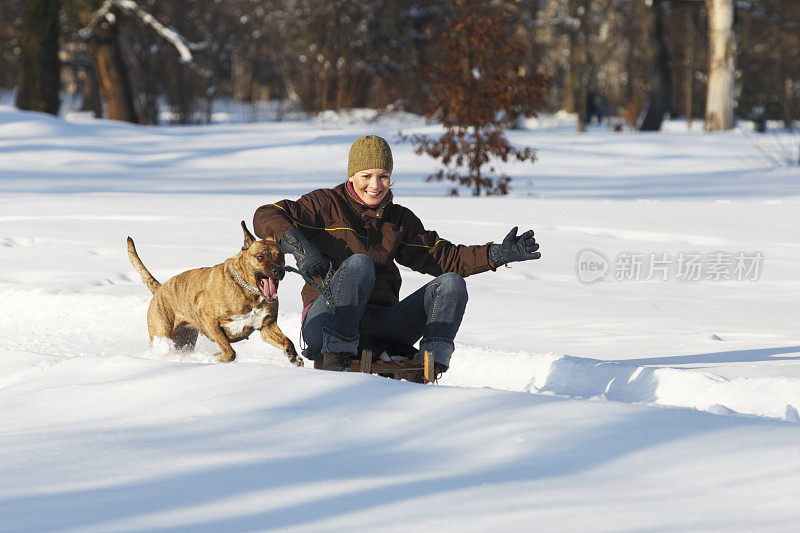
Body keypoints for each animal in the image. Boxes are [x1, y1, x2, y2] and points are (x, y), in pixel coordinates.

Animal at [128, 221, 304, 366]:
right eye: (260, 257)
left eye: (280, 256)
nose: (278, 270)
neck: (248, 290)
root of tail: (160, 288)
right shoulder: (209, 320)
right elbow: (229, 350)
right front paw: (216, 358)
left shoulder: (267, 326)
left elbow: (287, 341)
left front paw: (294, 357)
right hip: (161, 332)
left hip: (185, 338)